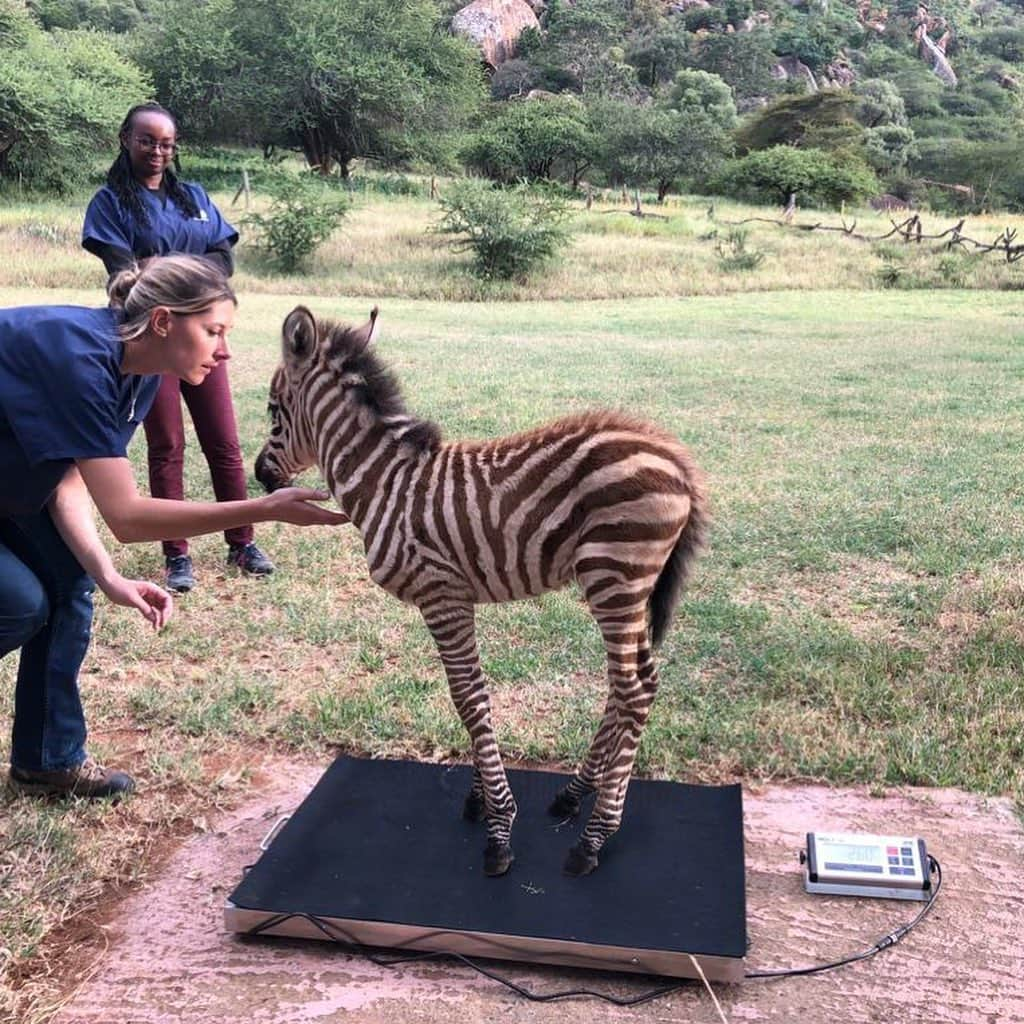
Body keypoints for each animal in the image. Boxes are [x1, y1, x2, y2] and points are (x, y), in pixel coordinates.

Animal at [252, 305, 708, 880]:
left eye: (273, 411)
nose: (259, 476)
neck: (384, 484)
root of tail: (675, 456)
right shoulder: (458, 596)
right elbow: (472, 697)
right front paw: (480, 800)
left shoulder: (440, 593)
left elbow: (468, 697)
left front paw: (498, 829)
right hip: (624, 585)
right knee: (630, 684)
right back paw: (573, 794)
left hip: (614, 575)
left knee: (634, 690)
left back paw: (594, 838)